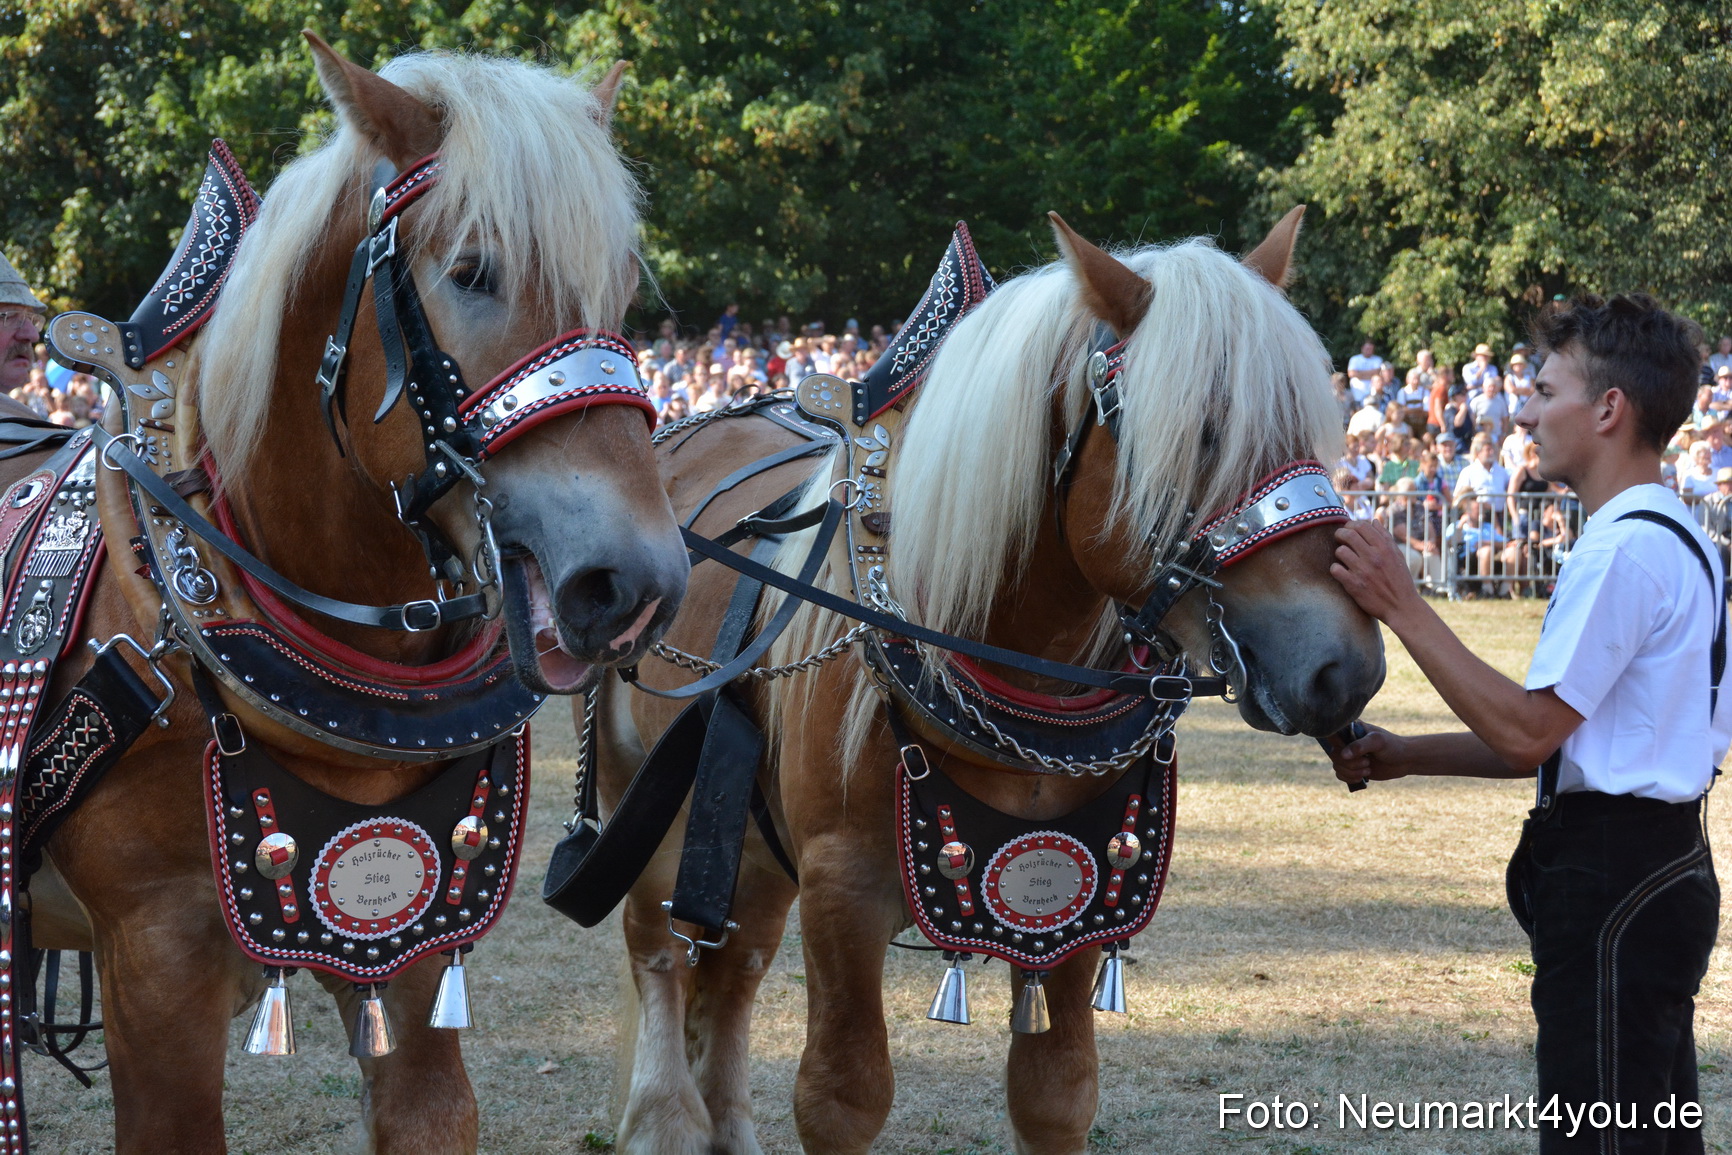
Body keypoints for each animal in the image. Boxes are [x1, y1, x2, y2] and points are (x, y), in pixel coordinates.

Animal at [592, 210, 1385, 1154]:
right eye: (1201, 432)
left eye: (1312, 427)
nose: (1344, 664)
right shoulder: (841, 889)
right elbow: (840, 1095)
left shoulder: (1089, 892)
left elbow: (1056, 1092)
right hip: (646, 793)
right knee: (658, 946)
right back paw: (665, 1116)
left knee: (738, 958)